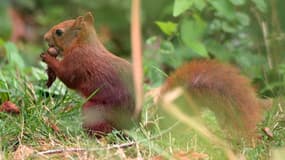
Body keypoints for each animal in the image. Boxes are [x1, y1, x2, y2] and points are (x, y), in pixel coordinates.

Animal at [41, 12, 266, 138]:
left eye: (59, 32)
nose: (44, 37)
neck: (83, 44)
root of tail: (133, 127)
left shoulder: (79, 61)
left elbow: (69, 77)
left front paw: (49, 60)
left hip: (96, 110)